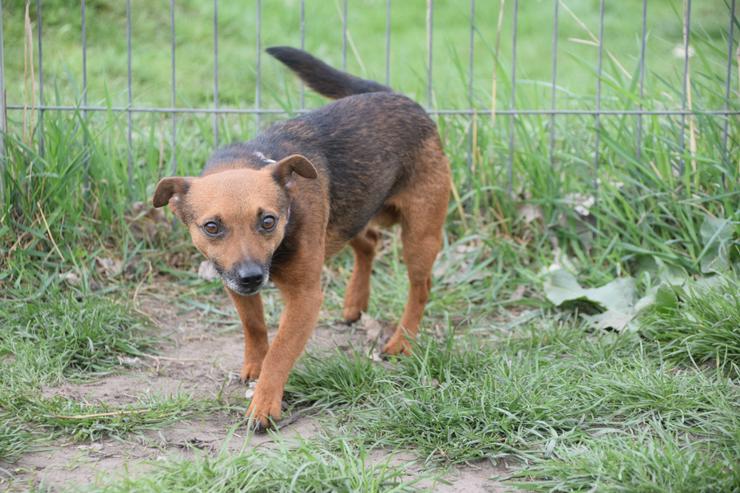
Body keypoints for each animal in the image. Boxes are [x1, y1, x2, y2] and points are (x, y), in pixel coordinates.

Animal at [152, 47, 450, 426]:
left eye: (268, 221)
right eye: (212, 227)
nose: (252, 277)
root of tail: (401, 98)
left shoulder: (305, 297)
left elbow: (281, 351)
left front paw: (264, 403)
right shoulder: (232, 281)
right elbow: (254, 326)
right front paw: (255, 364)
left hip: (418, 235)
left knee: (420, 287)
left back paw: (403, 341)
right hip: (347, 216)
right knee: (369, 242)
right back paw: (355, 302)